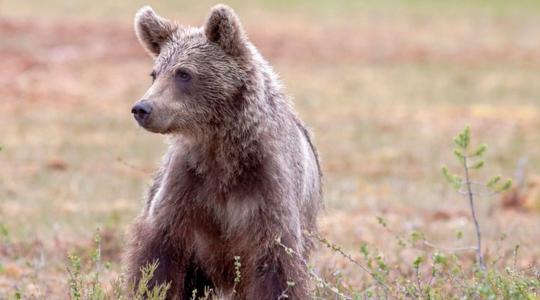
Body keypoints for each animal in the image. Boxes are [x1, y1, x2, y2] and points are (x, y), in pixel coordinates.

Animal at [126, 4, 320, 300]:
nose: (142, 108)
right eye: (155, 73)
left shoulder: (267, 188)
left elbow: (276, 266)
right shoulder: (187, 186)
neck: (222, 151)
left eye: (184, 73)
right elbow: (158, 257)